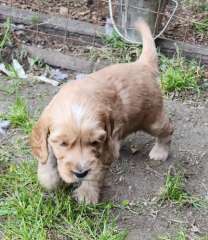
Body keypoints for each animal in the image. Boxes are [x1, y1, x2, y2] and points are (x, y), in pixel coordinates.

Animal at [31, 19, 174, 203]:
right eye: (62, 143)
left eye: (94, 142)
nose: (80, 173)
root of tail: (141, 64)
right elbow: (47, 157)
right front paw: (49, 179)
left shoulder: (103, 151)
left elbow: (95, 173)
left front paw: (86, 194)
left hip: (152, 118)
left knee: (167, 129)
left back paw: (160, 152)